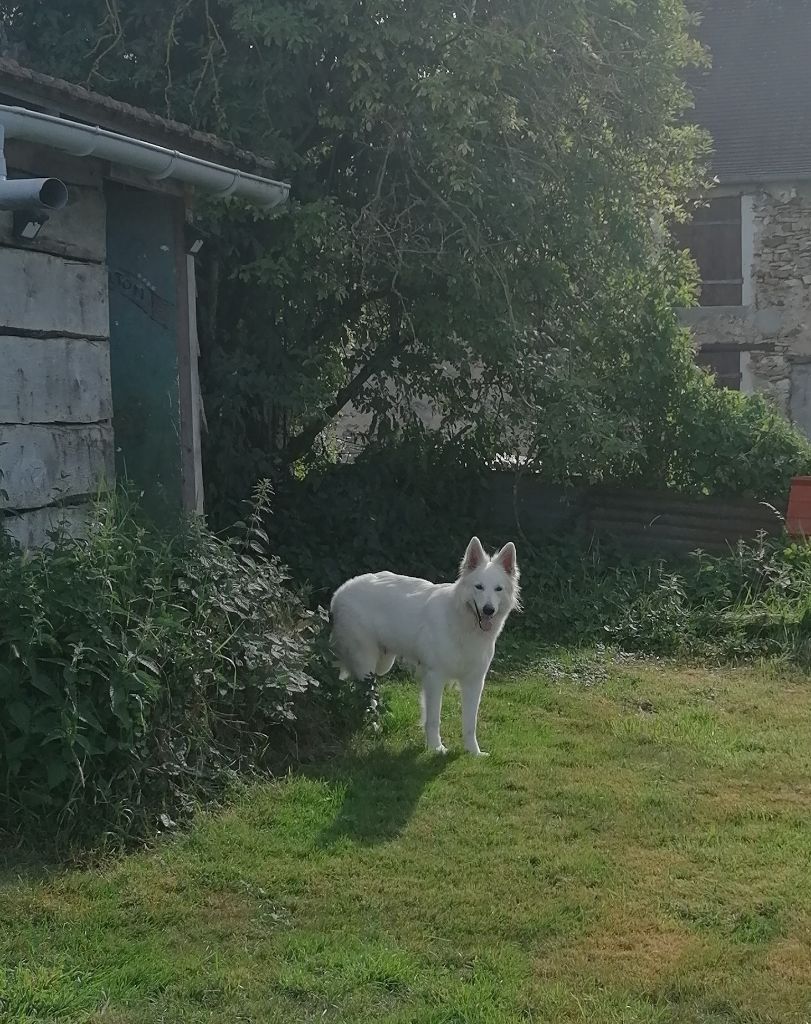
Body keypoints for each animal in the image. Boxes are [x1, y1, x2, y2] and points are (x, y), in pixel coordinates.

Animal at [329, 540, 520, 757]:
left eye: (498, 589)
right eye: (479, 587)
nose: (488, 610)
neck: (462, 623)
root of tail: (340, 591)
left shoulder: (474, 682)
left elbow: (470, 723)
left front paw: (474, 752)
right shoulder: (435, 678)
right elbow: (434, 719)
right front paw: (436, 748)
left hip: (381, 664)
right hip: (367, 664)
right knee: (367, 698)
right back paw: (373, 726)